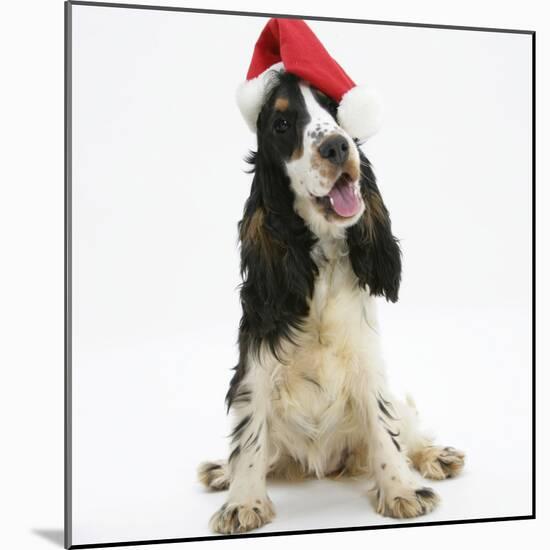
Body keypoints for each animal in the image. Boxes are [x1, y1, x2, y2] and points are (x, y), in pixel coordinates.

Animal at [198, 71, 466, 536]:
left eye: (333, 110)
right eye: (282, 124)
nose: (337, 146)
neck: (316, 256)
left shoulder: (366, 359)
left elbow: (385, 428)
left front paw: (401, 491)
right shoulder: (255, 363)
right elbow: (248, 438)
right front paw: (242, 502)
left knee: (408, 429)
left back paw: (436, 456)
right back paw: (222, 471)